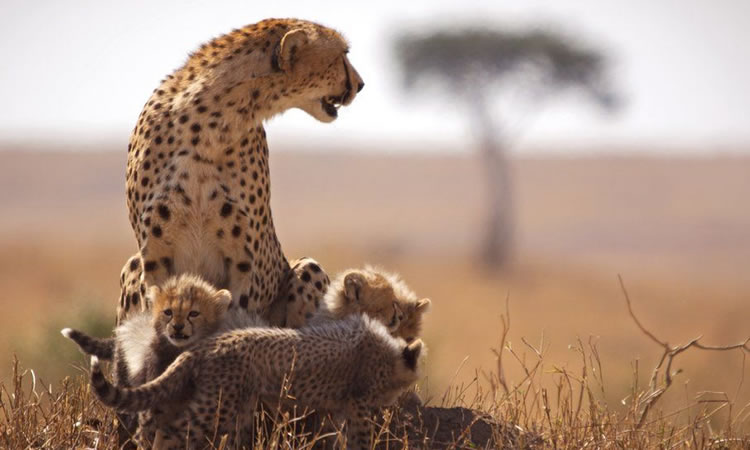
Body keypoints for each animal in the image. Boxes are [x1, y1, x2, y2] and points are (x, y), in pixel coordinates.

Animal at [89, 316, 424, 450]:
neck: (390, 352)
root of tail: (205, 344)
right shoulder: (358, 406)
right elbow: (359, 438)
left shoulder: (341, 408)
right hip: (215, 405)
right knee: (172, 431)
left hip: (235, 406)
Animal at [117, 18, 364, 326]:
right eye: (342, 54)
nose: (360, 84)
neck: (211, 123)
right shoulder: (154, 257)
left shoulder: (243, 263)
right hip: (133, 264)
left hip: (309, 268)